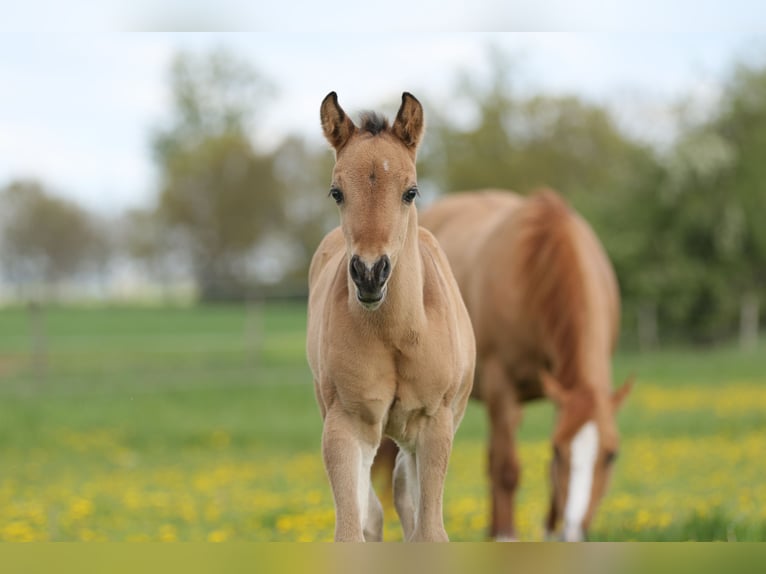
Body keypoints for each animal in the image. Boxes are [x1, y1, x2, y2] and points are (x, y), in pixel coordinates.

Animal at [304, 92, 474, 544]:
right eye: (336, 192)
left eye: (410, 192)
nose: (369, 273)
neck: (396, 335)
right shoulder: (346, 425)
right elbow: (353, 528)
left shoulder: (434, 426)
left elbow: (429, 530)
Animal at [420, 191, 636, 544]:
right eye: (560, 450)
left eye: (611, 454)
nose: (573, 532)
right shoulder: (501, 386)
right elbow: (507, 470)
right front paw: (508, 537)